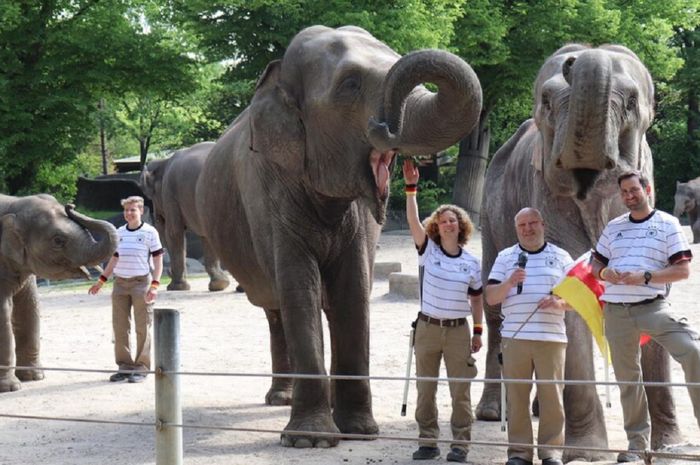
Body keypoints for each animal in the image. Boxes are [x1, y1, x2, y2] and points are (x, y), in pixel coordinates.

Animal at [0, 192, 117, 392]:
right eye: (58, 240)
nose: (70, 205)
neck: (14, 202)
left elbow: (29, 308)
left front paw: (35, 377)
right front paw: (11, 388)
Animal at [139, 143, 230, 292]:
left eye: (151, 197)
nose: (168, 272)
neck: (164, 161)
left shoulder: (169, 193)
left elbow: (173, 232)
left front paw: (176, 287)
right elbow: (205, 235)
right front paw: (220, 285)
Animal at [478, 44, 680, 460]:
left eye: (632, 103)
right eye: (546, 102)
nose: (576, 58)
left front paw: (671, 448)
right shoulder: (543, 194)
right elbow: (566, 299)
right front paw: (586, 454)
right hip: (489, 216)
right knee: (495, 313)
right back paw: (492, 412)